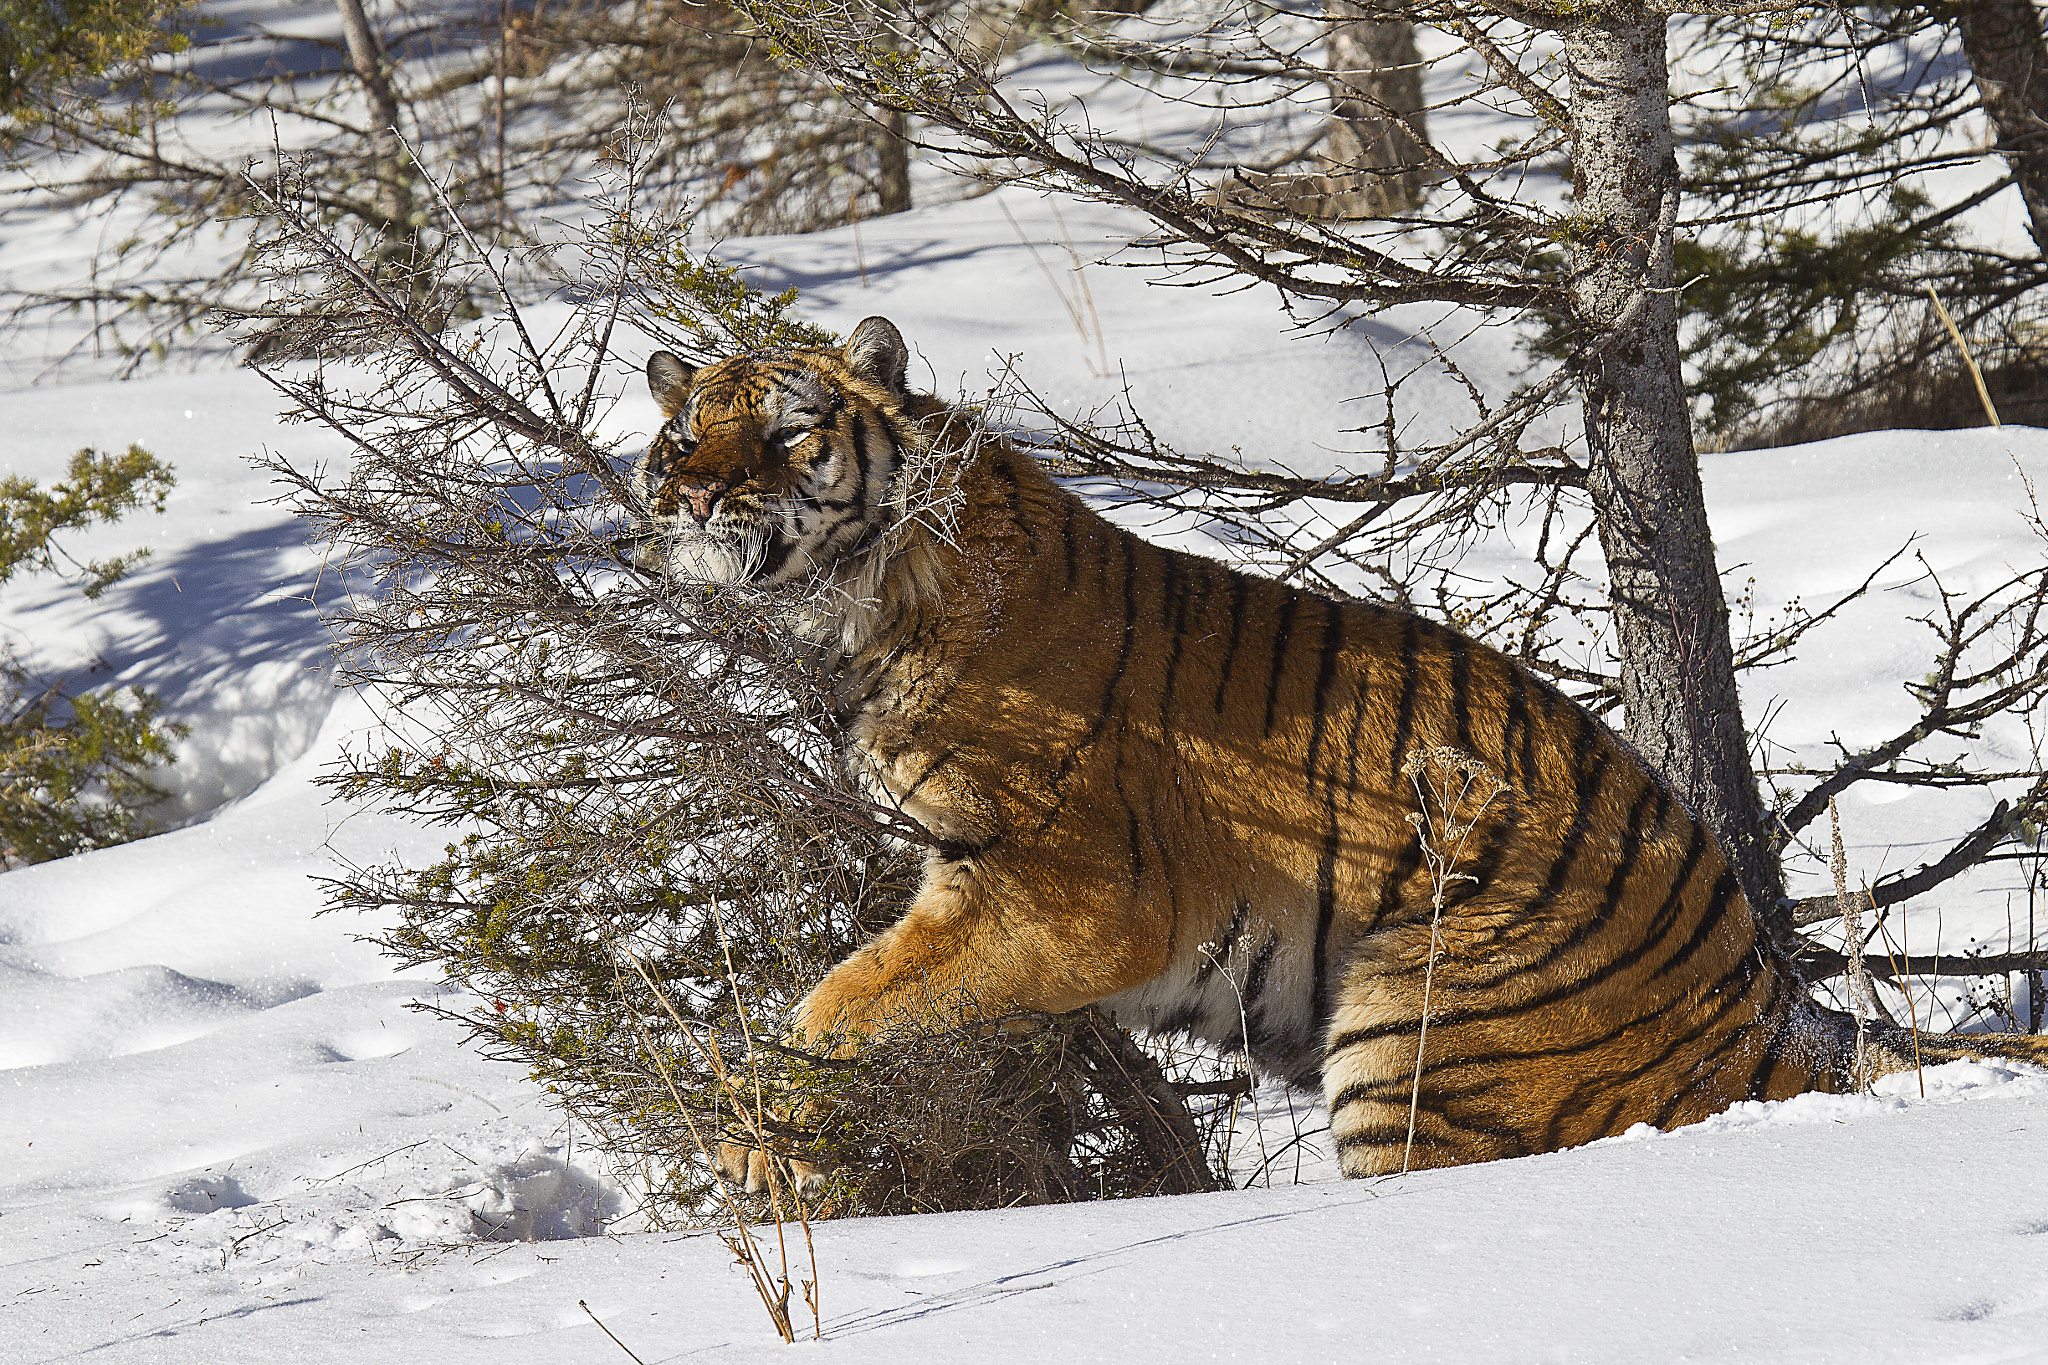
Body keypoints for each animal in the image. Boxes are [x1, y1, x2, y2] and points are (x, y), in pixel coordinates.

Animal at [632, 314, 2048, 1182]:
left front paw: (758, 1149)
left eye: (786, 431)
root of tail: (1770, 1008)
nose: (688, 494)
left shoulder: (1064, 896)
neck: (862, 605)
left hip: (1413, 1036)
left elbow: (837, 1006)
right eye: (682, 434)